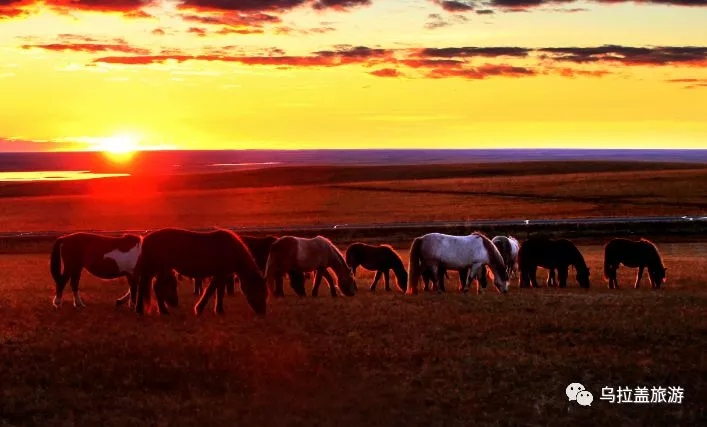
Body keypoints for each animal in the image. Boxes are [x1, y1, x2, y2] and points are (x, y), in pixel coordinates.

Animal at [131, 229, 266, 316]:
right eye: (259, 289)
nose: (262, 312)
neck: (231, 249)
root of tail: (145, 238)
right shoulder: (219, 275)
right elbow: (210, 291)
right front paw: (199, 309)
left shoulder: (222, 275)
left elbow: (219, 292)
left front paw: (219, 310)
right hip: (160, 269)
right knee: (157, 288)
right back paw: (163, 311)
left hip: (156, 270)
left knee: (145, 287)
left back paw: (139, 310)